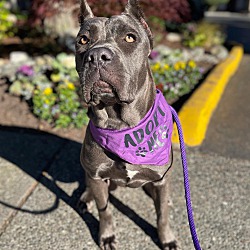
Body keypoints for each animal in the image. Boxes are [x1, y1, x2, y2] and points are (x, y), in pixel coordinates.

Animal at [75, 0, 179, 249]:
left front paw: (167, 238)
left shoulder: (161, 178)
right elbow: (105, 210)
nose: (97, 55)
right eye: (83, 40)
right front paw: (107, 235)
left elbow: (161, 214)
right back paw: (86, 198)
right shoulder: (98, 176)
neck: (122, 125)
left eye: (130, 38)